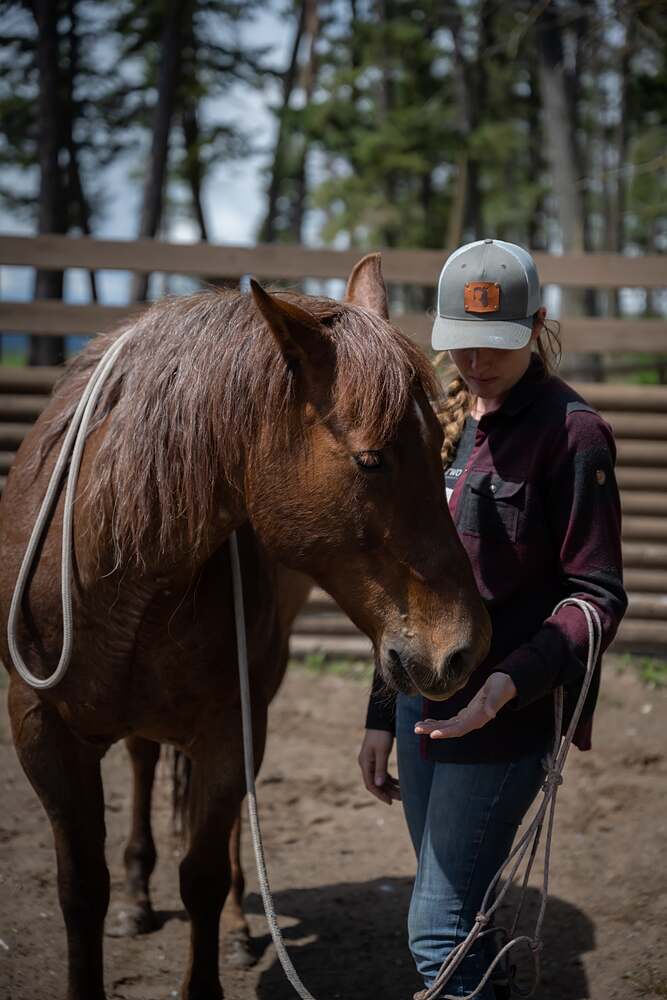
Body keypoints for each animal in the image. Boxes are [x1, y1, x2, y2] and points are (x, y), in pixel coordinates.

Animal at [0, 254, 491, 1000]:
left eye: (442, 445)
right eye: (371, 459)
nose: (462, 646)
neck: (112, 559)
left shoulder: (232, 721)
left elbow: (202, 873)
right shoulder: (39, 729)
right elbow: (81, 887)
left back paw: (234, 926)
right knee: (143, 762)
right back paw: (138, 897)